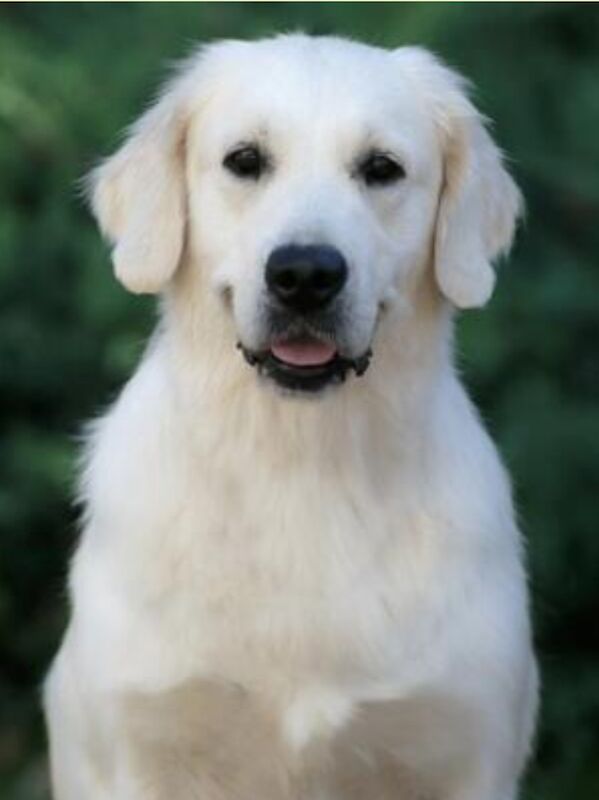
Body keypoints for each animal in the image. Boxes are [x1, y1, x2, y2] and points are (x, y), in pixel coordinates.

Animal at [43, 32, 540, 800]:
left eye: (381, 168)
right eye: (245, 160)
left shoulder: (463, 747)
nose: (305, 275)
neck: (300, 462)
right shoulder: (137, 743)